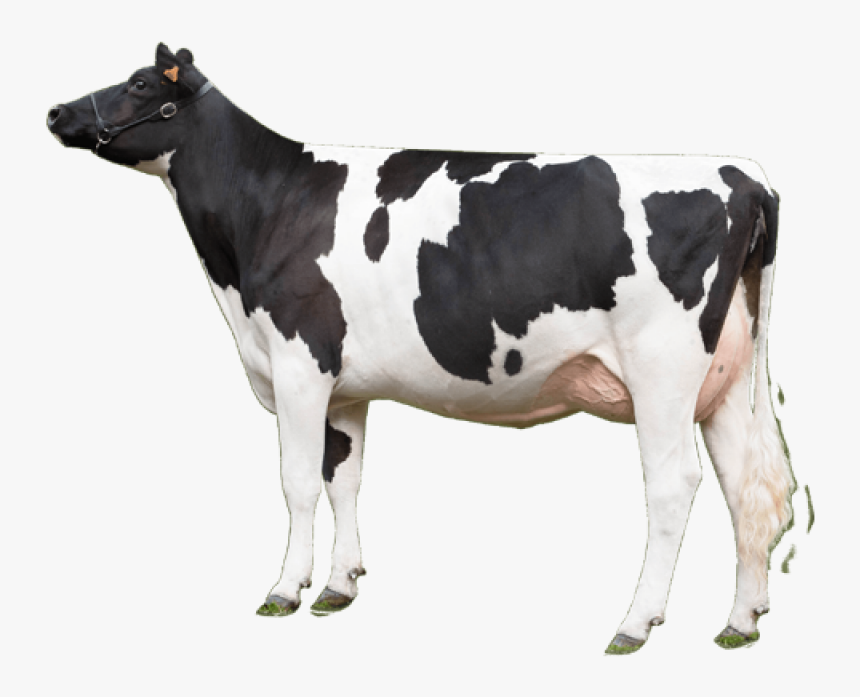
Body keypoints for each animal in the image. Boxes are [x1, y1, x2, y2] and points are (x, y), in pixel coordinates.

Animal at [47, 43, 795, 653]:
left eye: (141, 83)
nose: (56, 110)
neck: (262, 215)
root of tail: (746, 176)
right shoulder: (344, 386)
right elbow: (343, 476)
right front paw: (339, 584)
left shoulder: (298, 363)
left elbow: (296, 481)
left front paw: (286, 588)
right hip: (725, 381)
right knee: (744, 487)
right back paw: (740, 620)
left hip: (663, 372)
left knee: (674, 487)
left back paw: (634, 623)